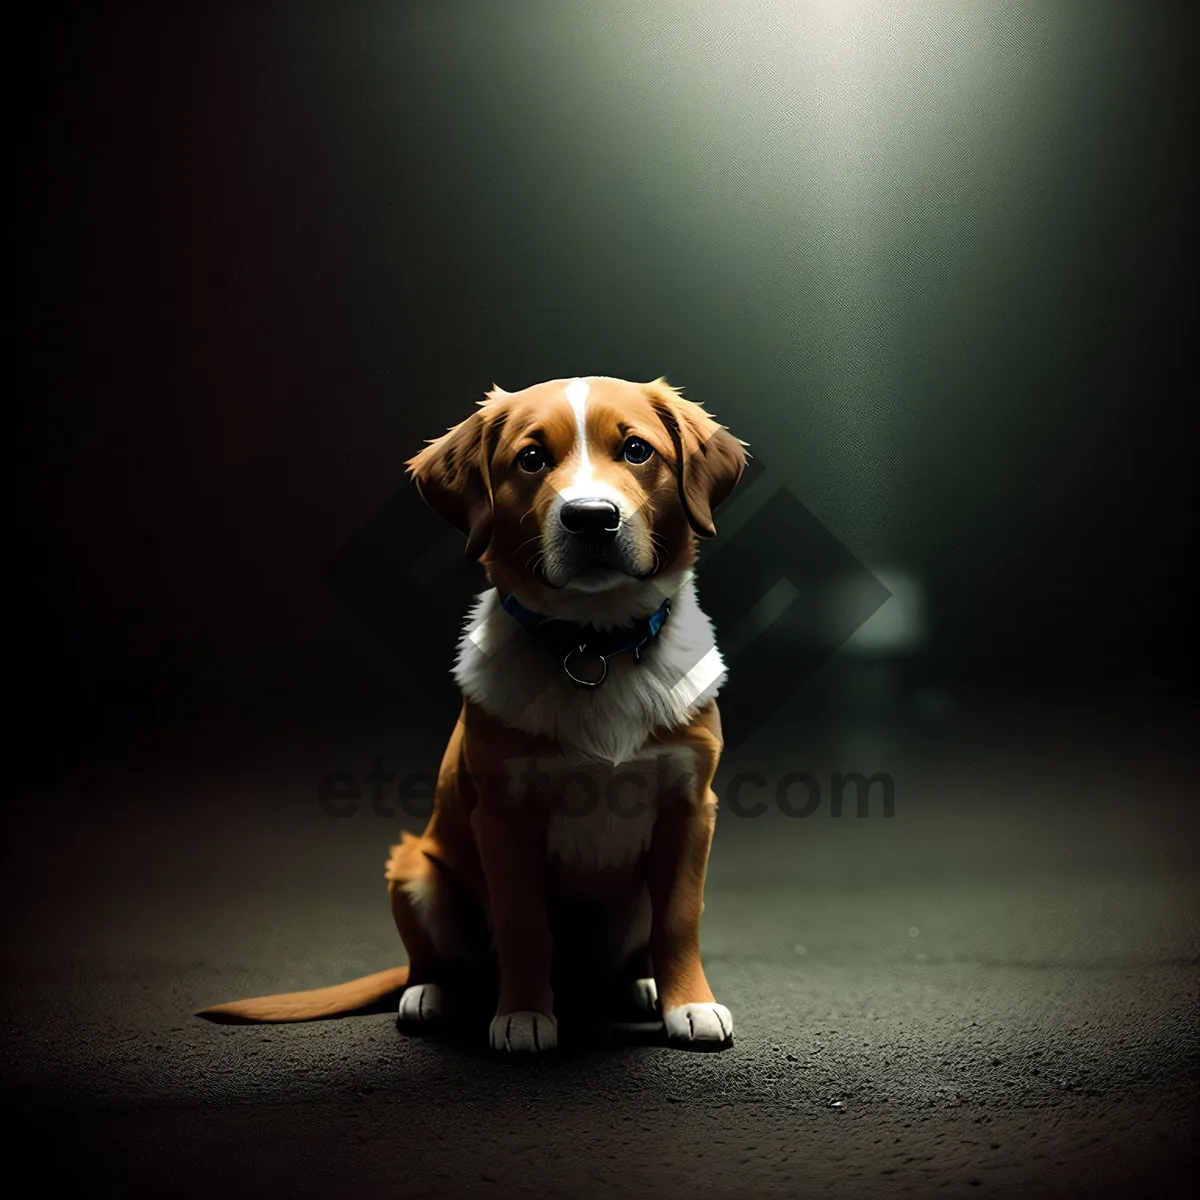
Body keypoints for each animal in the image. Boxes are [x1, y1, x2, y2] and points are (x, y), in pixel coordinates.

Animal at [204, 372, 748, 1051]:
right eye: (532, 458)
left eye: (637, 451)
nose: (591, 519)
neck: (592, 646)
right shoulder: (502, 817)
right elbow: (522, 925)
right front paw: (523, 1015)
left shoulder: (689, 807)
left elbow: (679, 918)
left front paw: (689, 1005)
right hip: (416, 871)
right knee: (438, 961)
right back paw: (430, 996)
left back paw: (639, 986)